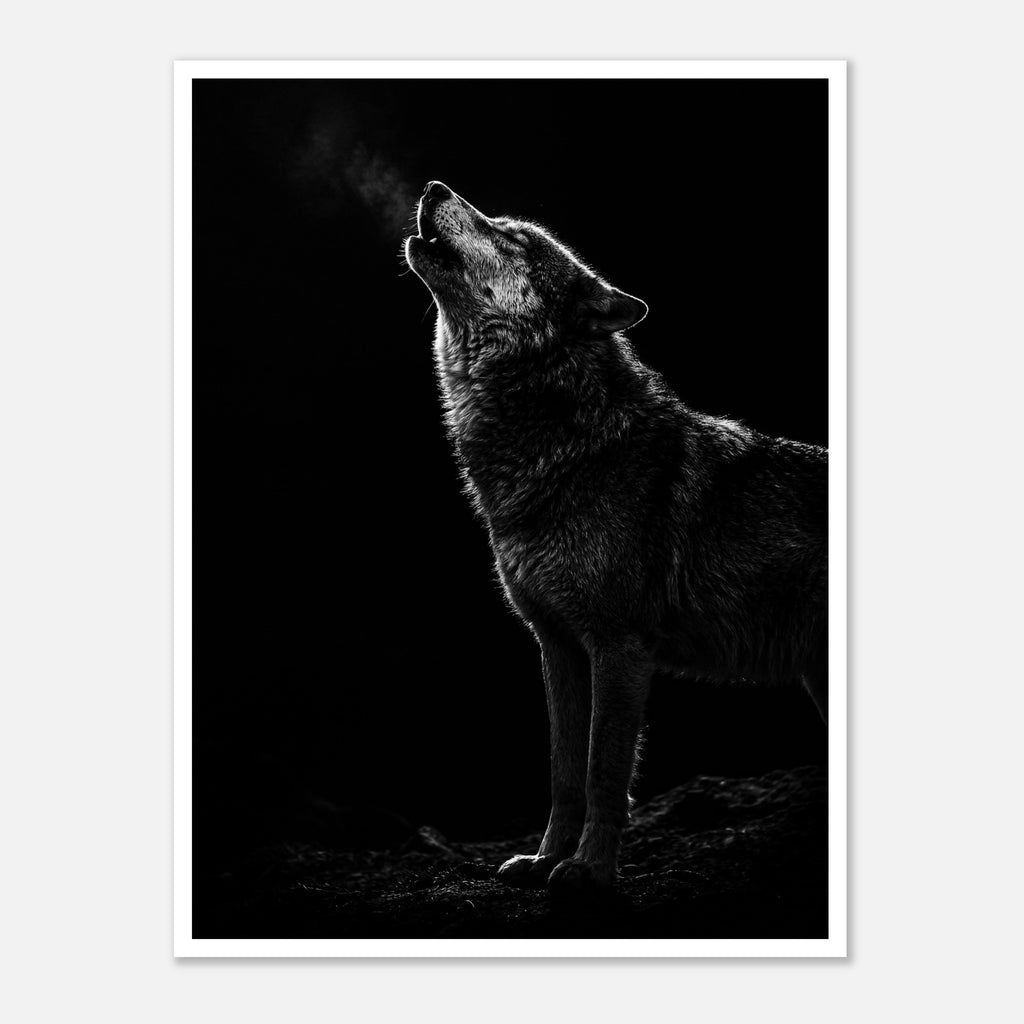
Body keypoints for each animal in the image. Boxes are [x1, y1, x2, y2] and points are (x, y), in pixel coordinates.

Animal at [404, 181, 828, 894]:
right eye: (499, 223)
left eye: (512, 237)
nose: (435, 187)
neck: (570, 449)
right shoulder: (557, 647)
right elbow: (564, 772)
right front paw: (545, 860)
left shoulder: (620, 646)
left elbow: (605, 770)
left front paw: (591, 871)